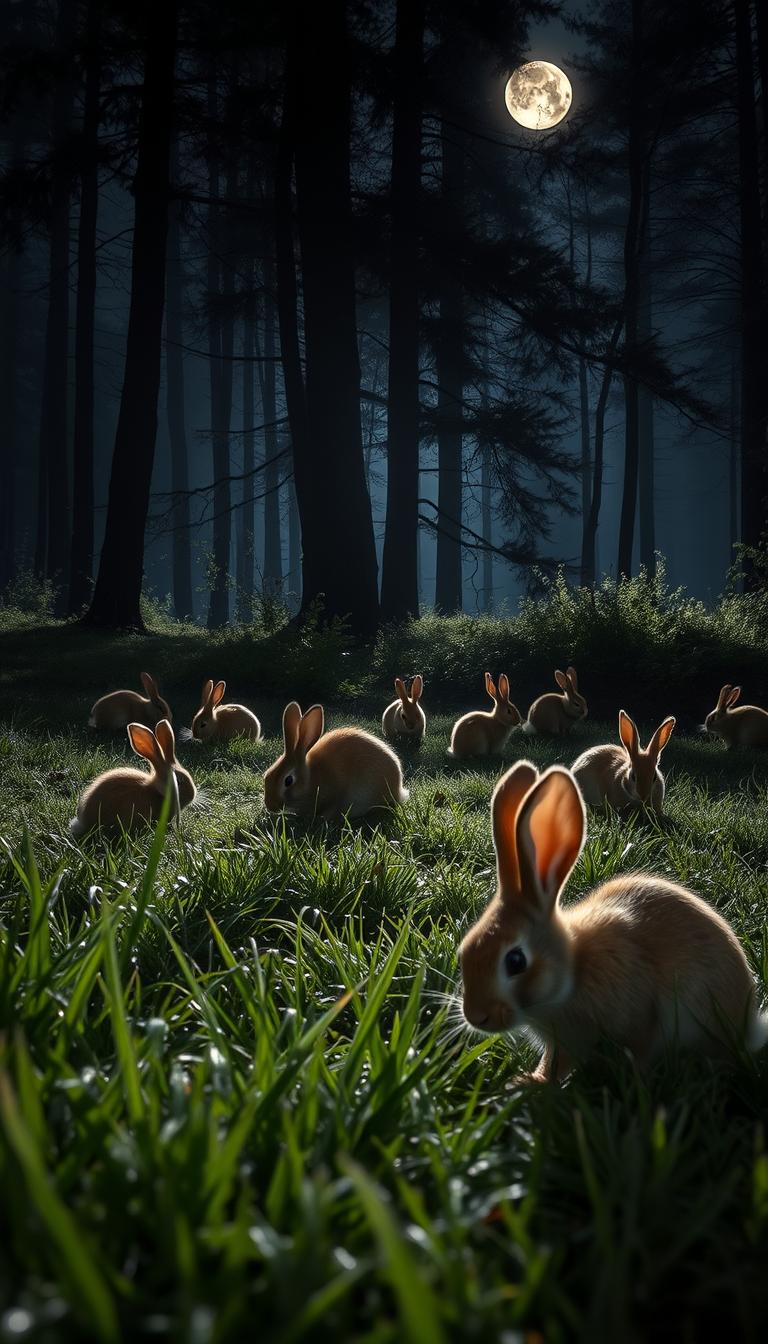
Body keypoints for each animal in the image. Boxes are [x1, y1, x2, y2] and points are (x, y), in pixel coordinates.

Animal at [458, 760, 767, 1082]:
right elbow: (553, 1063)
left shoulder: (636, 1017)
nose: (476, 1016)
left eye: (515, 961)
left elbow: (639, 1050)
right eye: (464, 950)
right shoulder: (561, 1043)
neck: (574, 970)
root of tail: (747, 1028)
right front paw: (530, 1081)